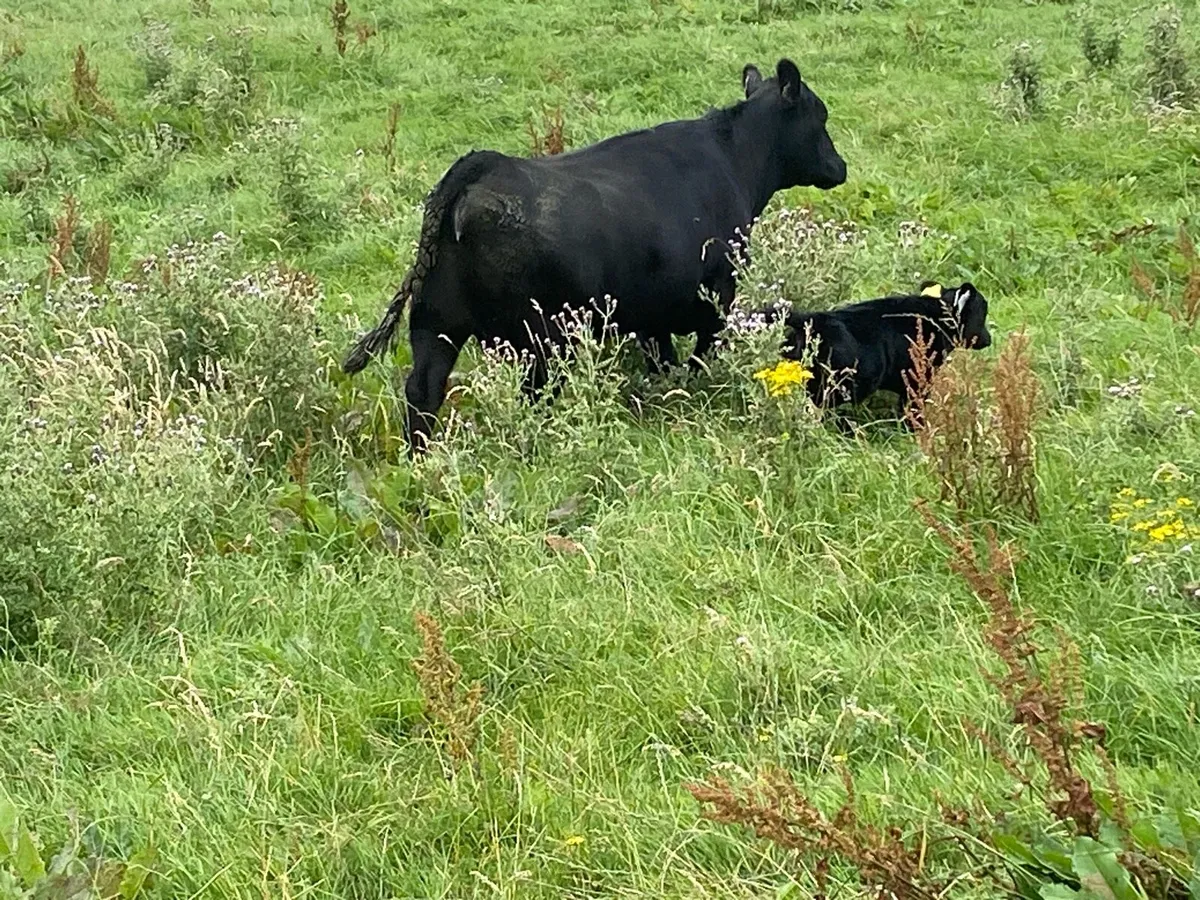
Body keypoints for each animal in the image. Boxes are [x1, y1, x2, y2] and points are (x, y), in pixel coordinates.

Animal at [341, 58, 847, 453]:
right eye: (820, 117)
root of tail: (482, 168)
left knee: (423, 393)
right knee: (530, 395)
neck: (733, 161)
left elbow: (663, 361)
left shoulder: (651, 315)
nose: (840, 167)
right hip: (539, 340)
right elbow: (699, 359)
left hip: (436, 323)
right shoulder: (716, 297)